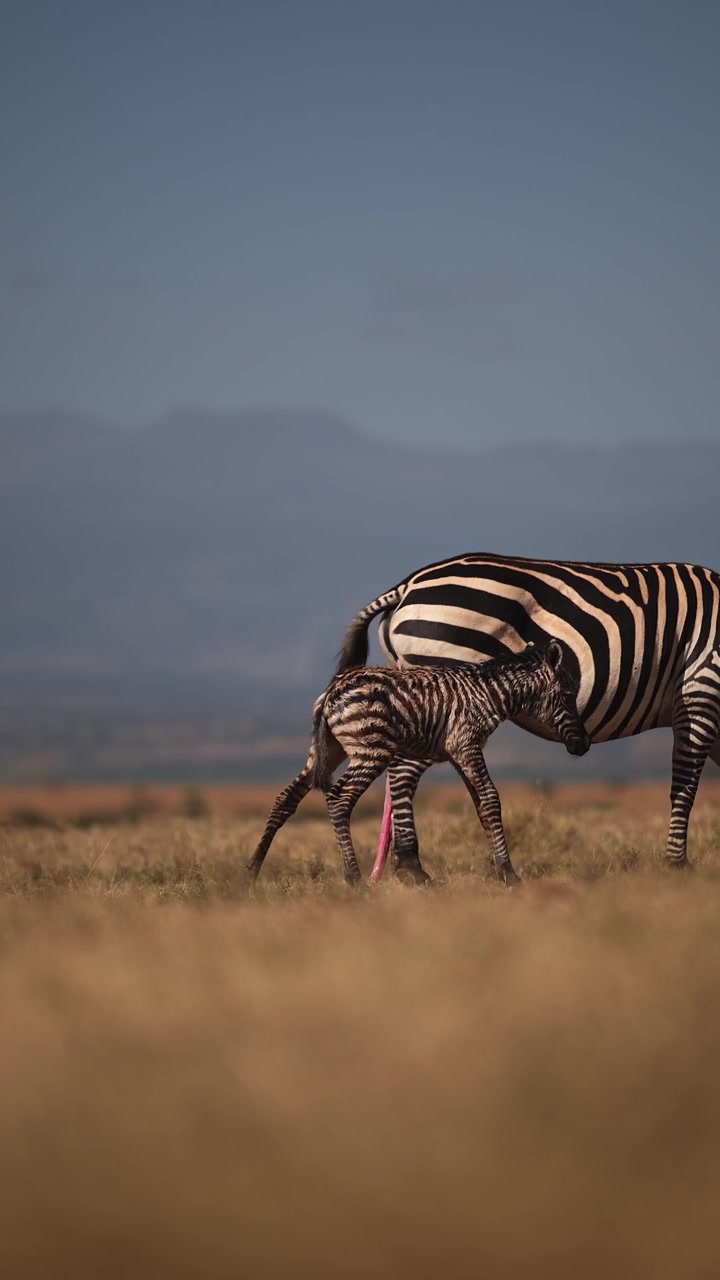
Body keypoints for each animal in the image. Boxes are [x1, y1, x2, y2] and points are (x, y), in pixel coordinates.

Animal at [246, 641, 590, 887]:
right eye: (568, 694)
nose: (583, 745)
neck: (489, 694)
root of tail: (333, 690)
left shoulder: (458, 753)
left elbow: (481, 805)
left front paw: (500, 869)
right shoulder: (466, 745)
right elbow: (491, 799)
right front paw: (509, 874)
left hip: (328, 751)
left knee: (286, 798)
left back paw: (251, 872)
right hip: (372, 751)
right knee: (339, 799)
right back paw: (354, 879)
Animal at [336, 552, 720, 876]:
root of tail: (407, 586)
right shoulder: (702, 688)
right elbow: (684, 788)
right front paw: (677, 865)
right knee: (402, 774)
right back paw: (412, 869)